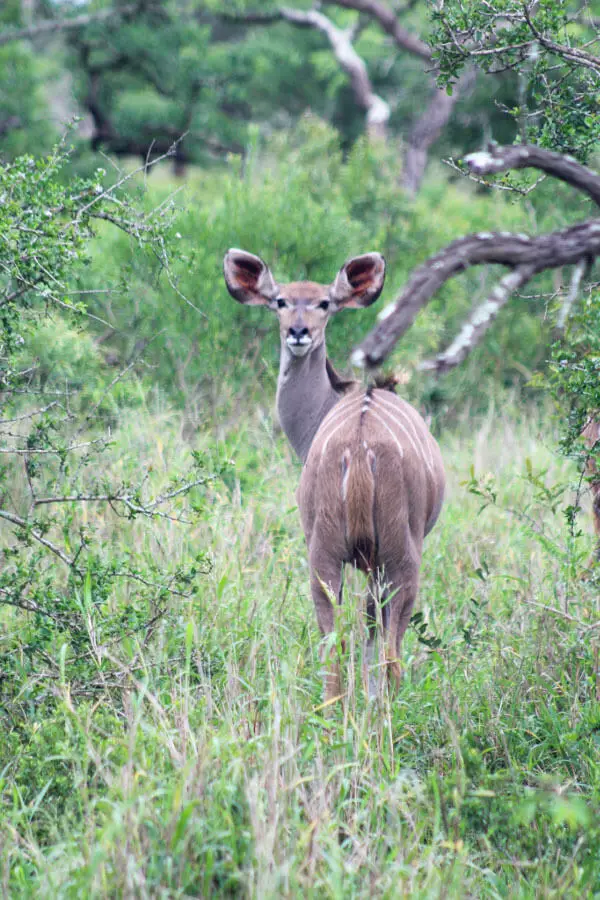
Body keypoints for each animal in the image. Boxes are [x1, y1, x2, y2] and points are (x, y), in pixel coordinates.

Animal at [224, 250, 446, 700]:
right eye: (280, 301)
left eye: (324, 303)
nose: (298, 332)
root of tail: (359, 450)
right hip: (396, 556)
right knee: (385, 651)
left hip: (327, 556)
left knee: (337, 646)